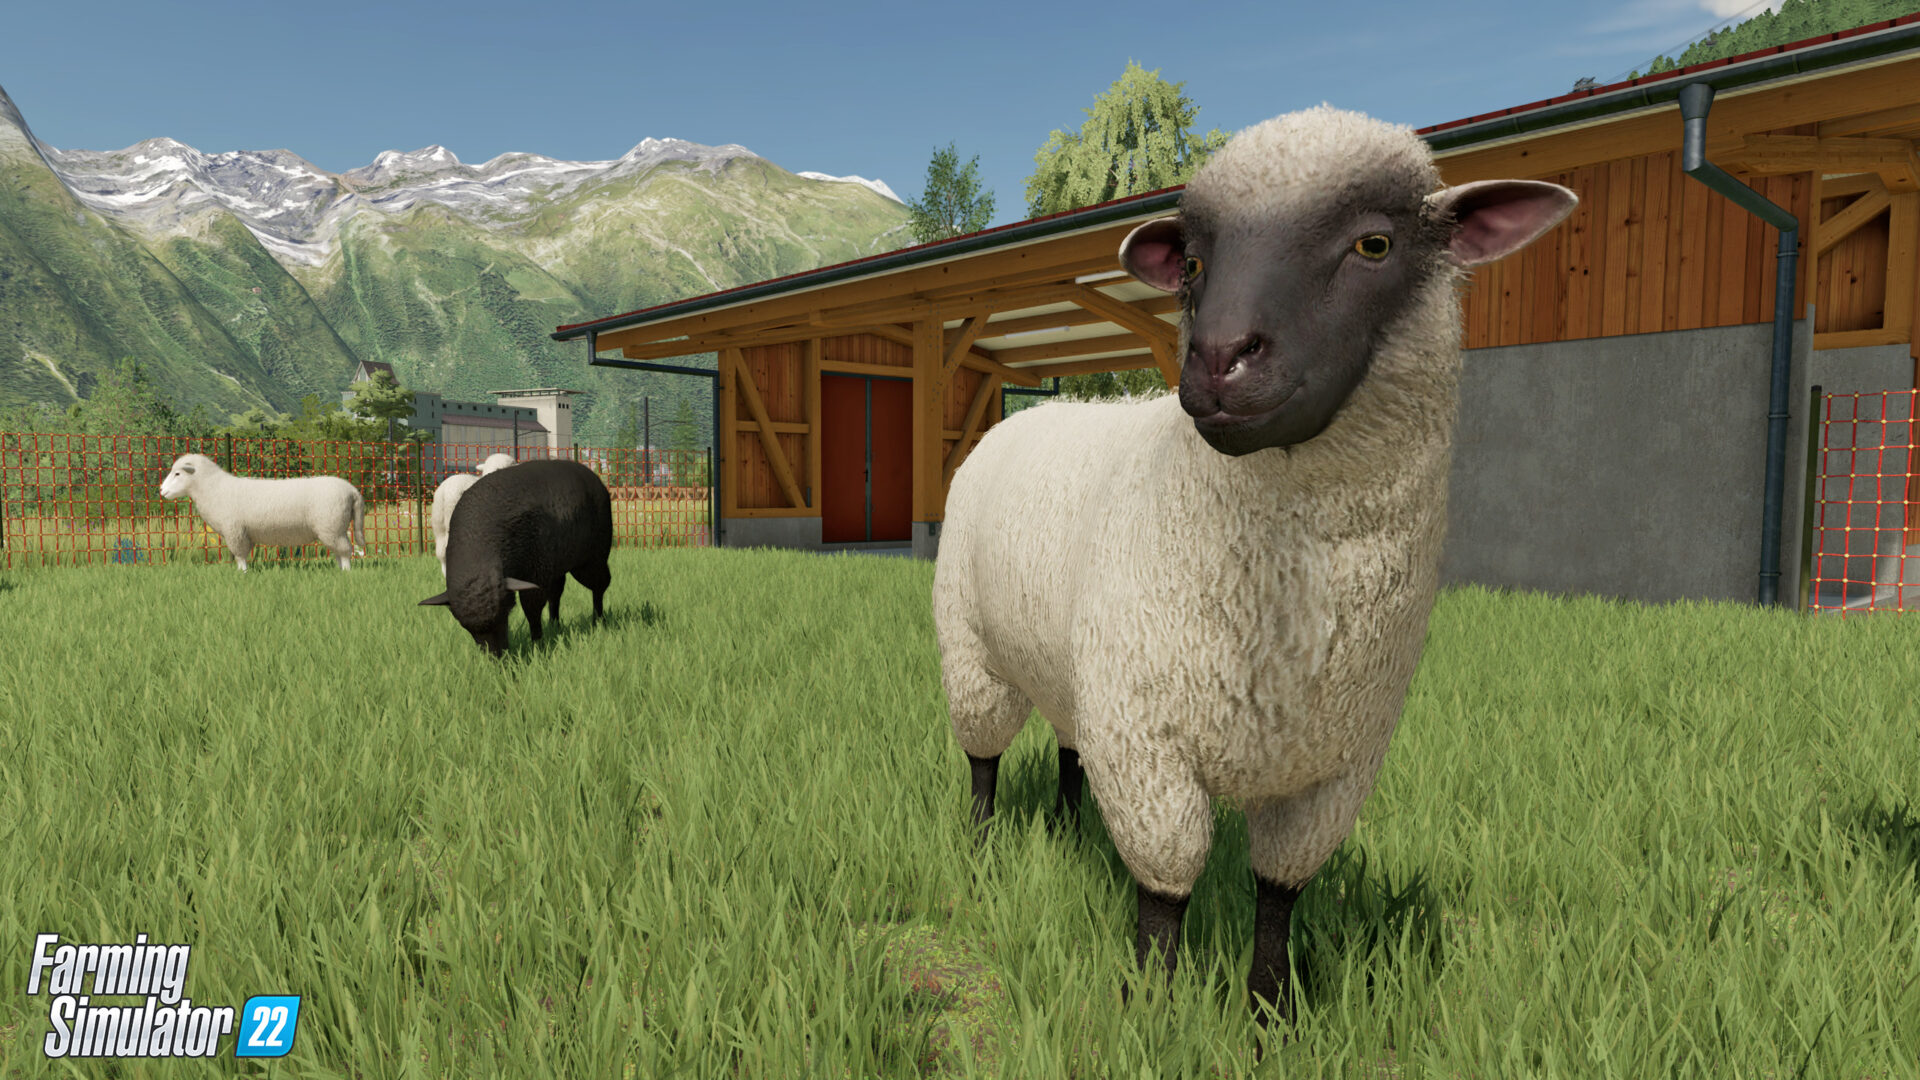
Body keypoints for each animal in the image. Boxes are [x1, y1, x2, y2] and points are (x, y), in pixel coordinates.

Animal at [158, 453, 367, 572]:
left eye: (178, 473)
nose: (161, 490)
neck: (213, 488)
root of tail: (352, 491)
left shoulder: (235, 532)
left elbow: (240, 556)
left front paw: (242, 574)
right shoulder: (244, 533)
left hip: (331, 527)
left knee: (345, 551)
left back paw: (346, 572)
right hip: (335, 528)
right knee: (339, 551)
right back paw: (339, 570)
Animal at [418, 458, 613, 657]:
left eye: (504, 614)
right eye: (466, 628)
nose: (496, 657)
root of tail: (588, 472)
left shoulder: (536, 573)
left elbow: (532, 609)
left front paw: (537, 647)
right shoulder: (544, 568)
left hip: (591, 559)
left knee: (600, 584)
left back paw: (599, 621)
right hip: (557, 563)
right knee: (557, 591)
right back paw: (554, 624)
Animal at [931, 105, 1576, 1026]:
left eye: (1375, 245)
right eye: (1196, 263)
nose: (1218, 357)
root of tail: (1024, 415)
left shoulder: (1332, 769)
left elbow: (1280, 891)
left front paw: (1272, 1013)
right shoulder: (1149, 740)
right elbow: (1166, 887)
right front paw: (1153, 1010)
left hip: (1077, 673)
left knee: (1069, 748)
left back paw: (1068, 829)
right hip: (972, 651)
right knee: (983, 758)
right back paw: (983, 849)